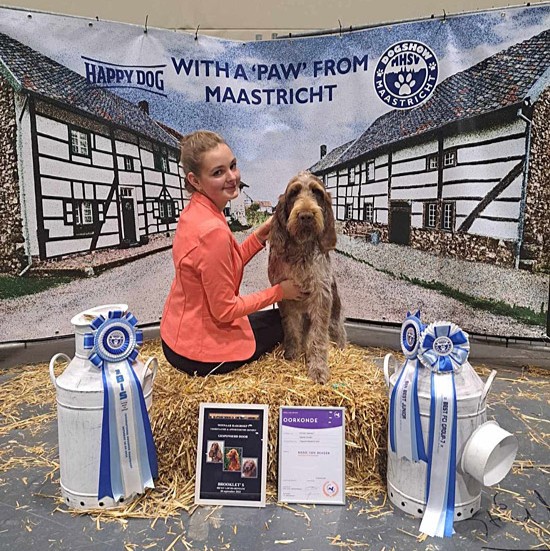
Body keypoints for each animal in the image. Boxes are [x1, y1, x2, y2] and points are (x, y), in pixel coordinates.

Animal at [268, 171, 346, 384]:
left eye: (317, 192)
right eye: (294, 193)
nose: (306, 216)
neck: (301, 252)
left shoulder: (321, 297)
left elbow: (318, 337)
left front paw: (318, 368)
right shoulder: (286, 298)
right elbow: (291, 328)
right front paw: (292, 353)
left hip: (335, 321)